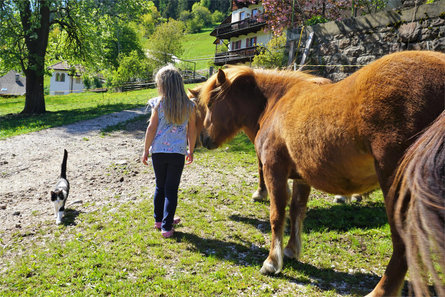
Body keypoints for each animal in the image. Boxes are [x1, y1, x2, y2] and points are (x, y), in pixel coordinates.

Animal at [197, 51, 444, 296]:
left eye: (210, 103)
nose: (203, 139)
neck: (275, 103)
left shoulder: (274, 171)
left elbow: (277, 216)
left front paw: (272, 262)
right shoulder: (301, 177)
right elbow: (297, 211)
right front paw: (291, 250)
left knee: (403, 242)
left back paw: (380, 291)